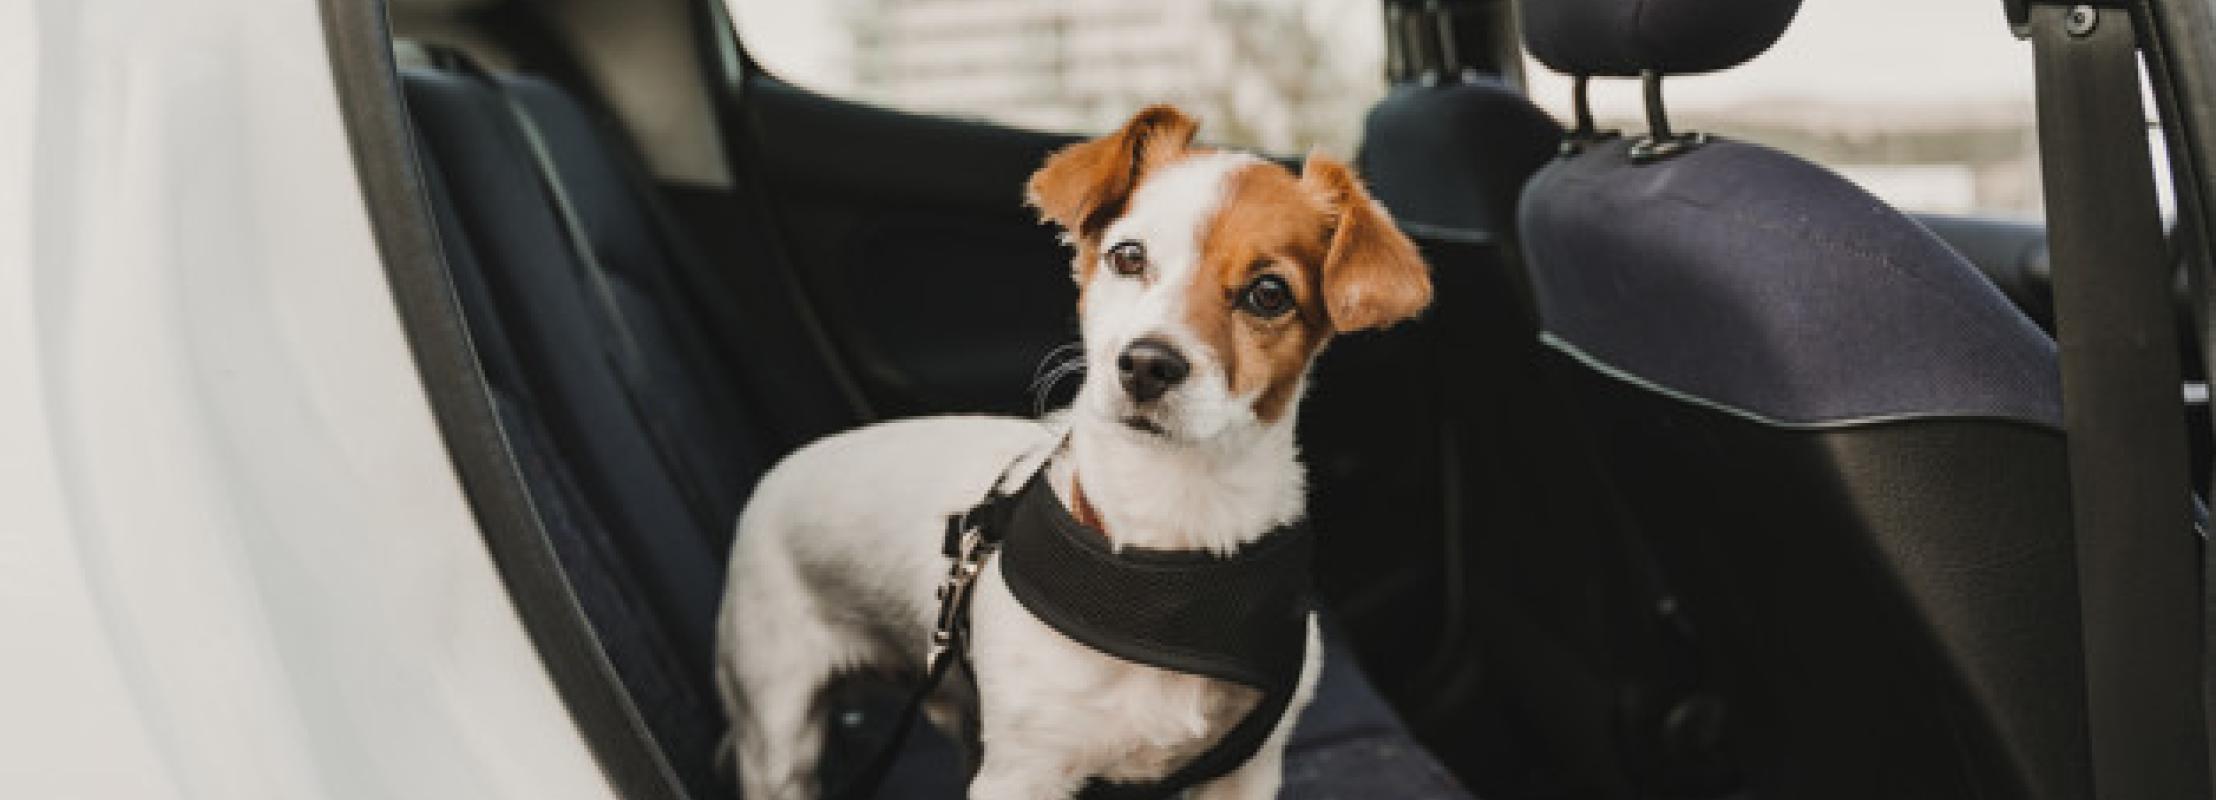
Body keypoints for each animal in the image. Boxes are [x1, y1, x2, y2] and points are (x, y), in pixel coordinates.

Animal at [717, 105, 1427, 797]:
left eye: (1270, 293)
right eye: (1128, 256)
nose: (1146, 363)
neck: (1165, 547)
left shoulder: (1246, 769)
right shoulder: (1022, 773)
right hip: (778, 733)